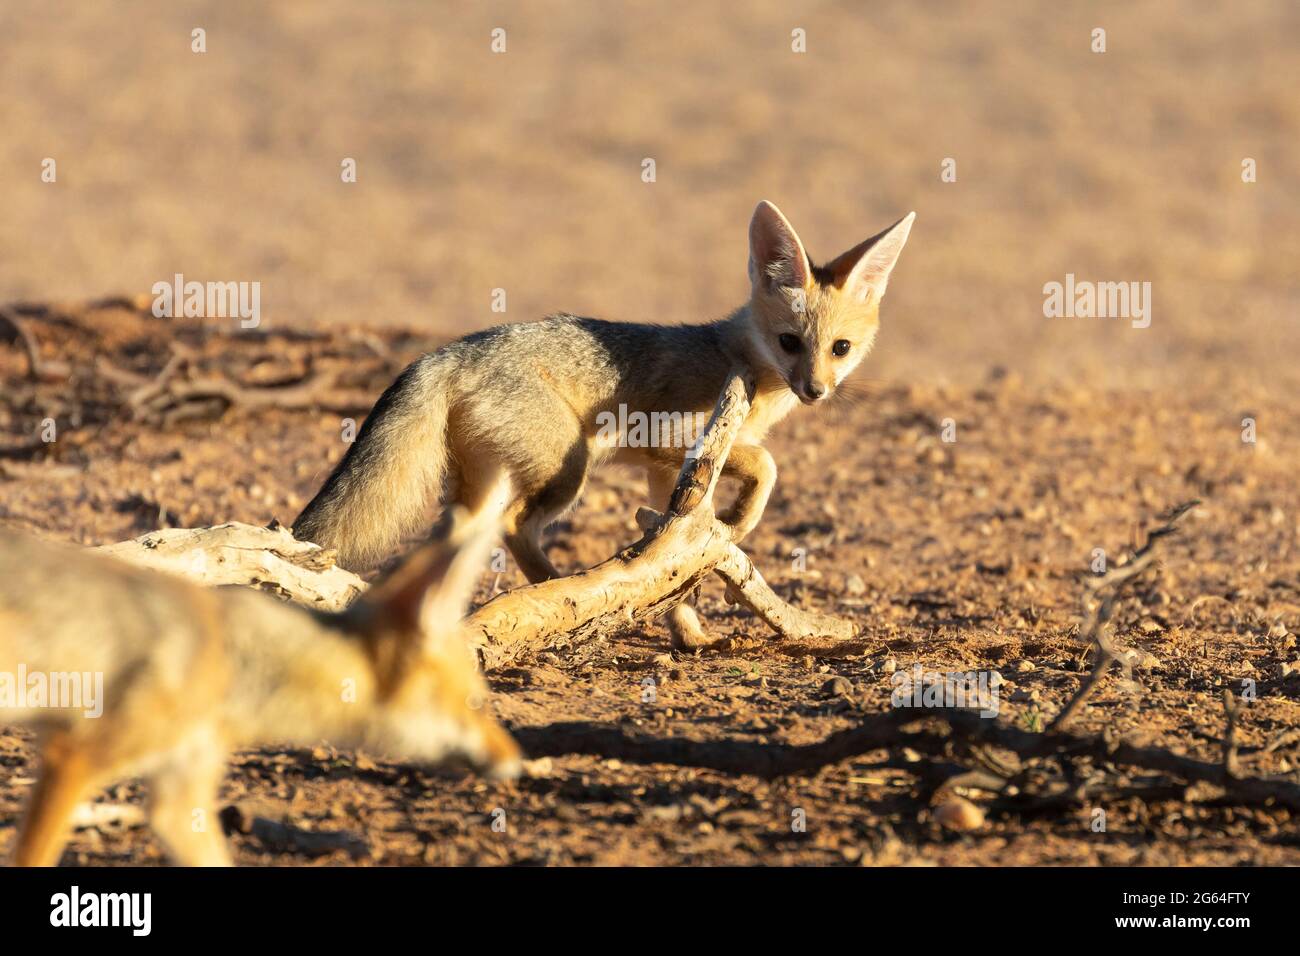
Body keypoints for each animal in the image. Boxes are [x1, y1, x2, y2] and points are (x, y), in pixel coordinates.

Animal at [293, 201, 914, 648]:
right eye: (789, 342)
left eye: (839, 349)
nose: (815, 391)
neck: (737, 357)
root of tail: (446, 353)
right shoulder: (668, 435)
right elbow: (766, 464)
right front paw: (741, 517)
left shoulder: (670, 473)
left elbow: (676, 548)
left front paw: (688, 631)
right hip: (568, 469)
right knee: (515, 527)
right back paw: (558, 594)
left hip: (484, 486)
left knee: (453, 543)